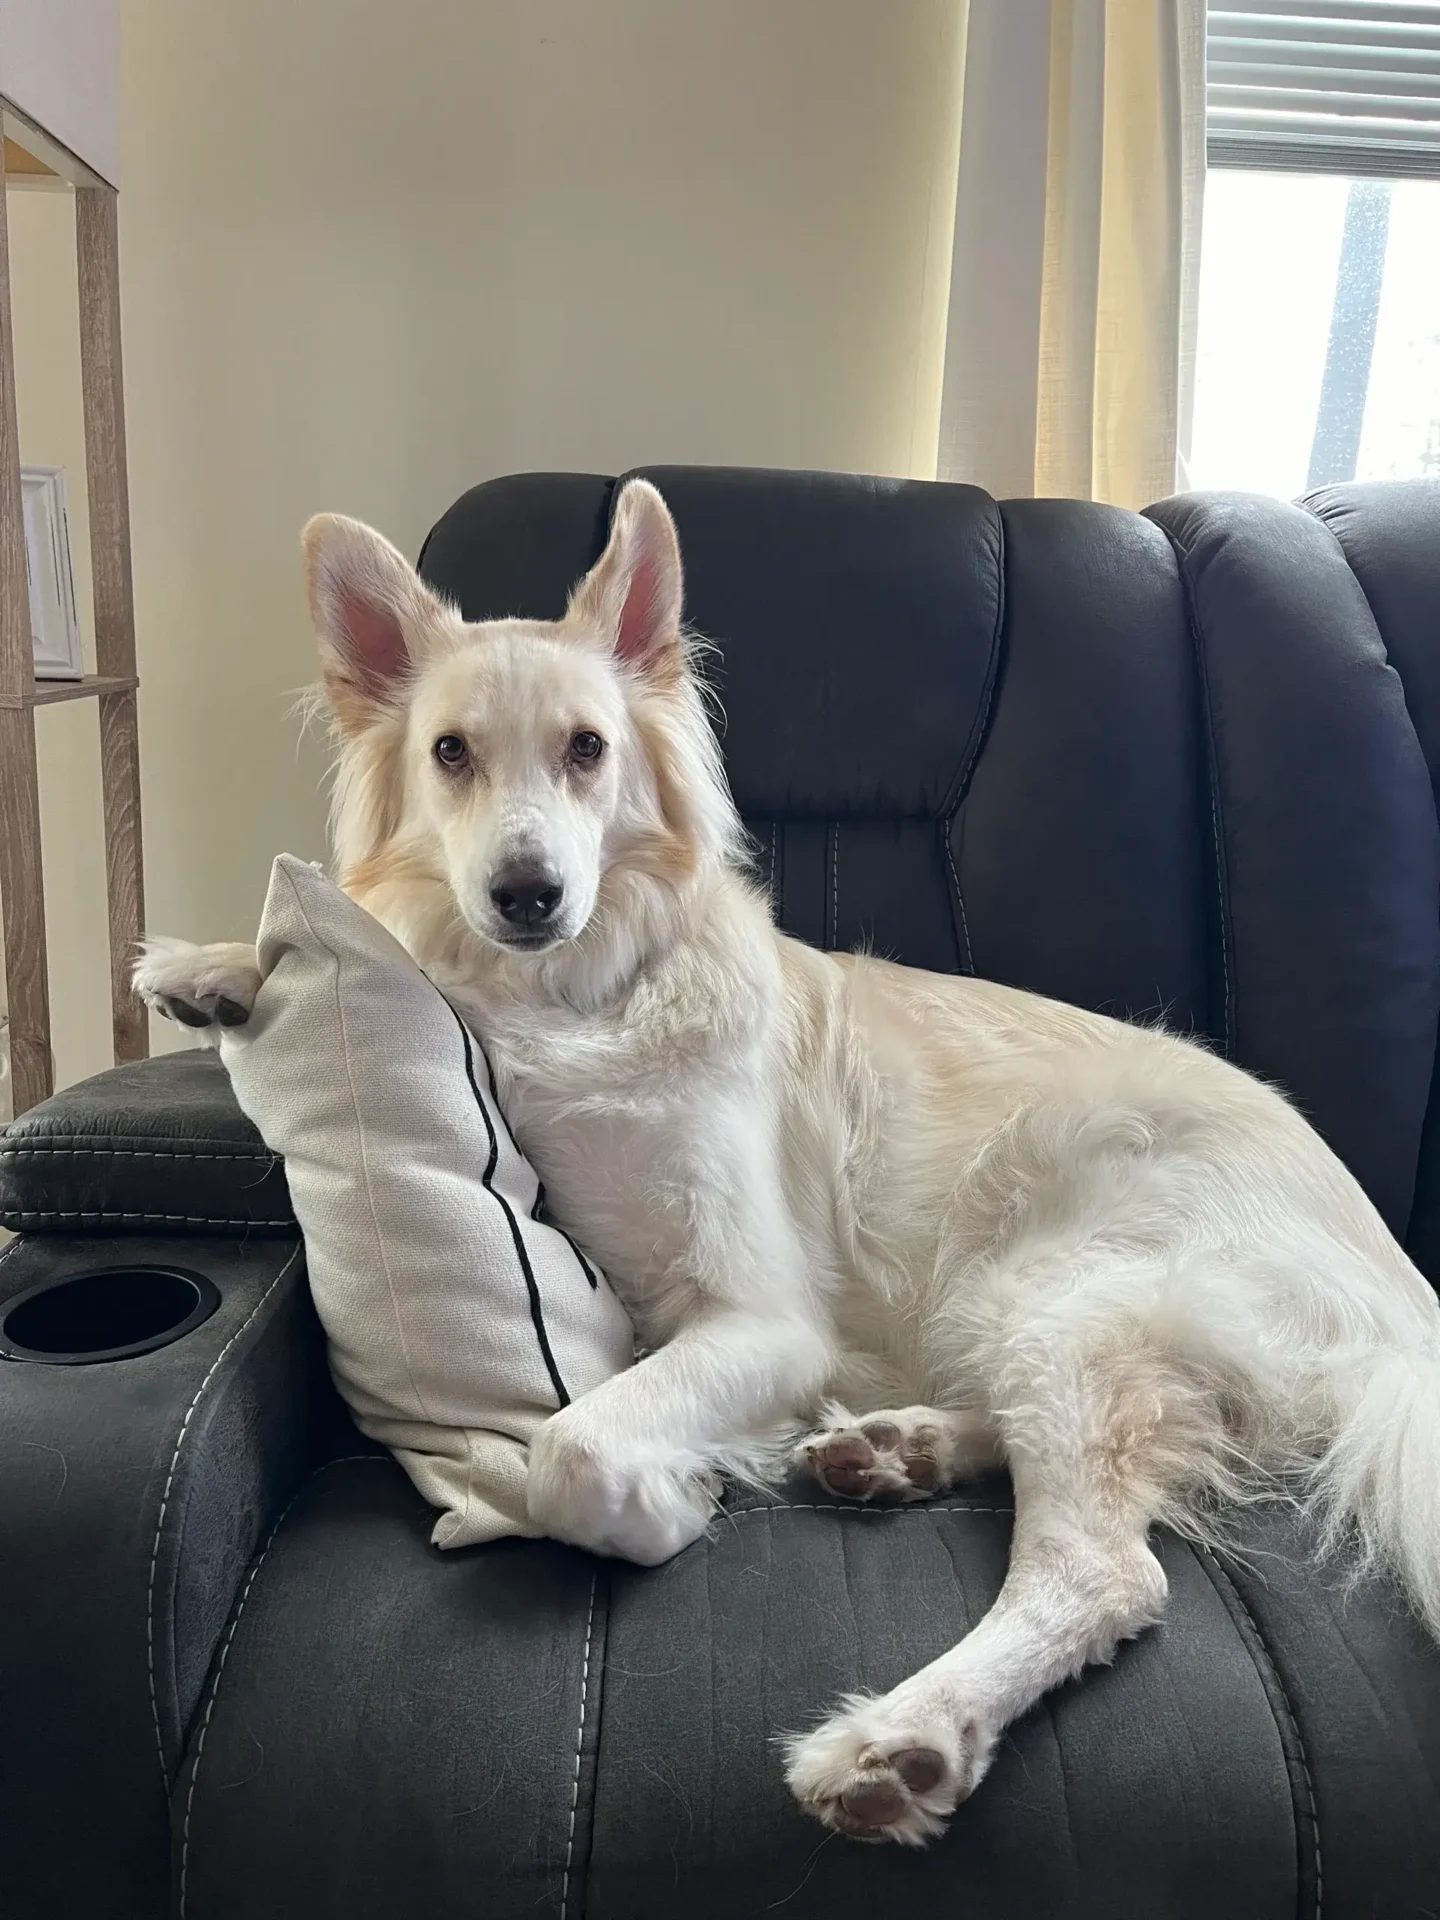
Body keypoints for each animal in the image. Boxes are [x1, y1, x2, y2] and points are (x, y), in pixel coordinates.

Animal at [138, 476, 1440, 1843]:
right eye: (450, 754)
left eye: (588, 749)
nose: (527, 894)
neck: (575, 996)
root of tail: (1402, 1299)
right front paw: (214, 970)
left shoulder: (762, 1320)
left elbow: (574, 1449)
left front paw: (666, 1502)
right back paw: (895, 1450)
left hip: (1061, 1287)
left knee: (1105, 1570)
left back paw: (905, 1736)